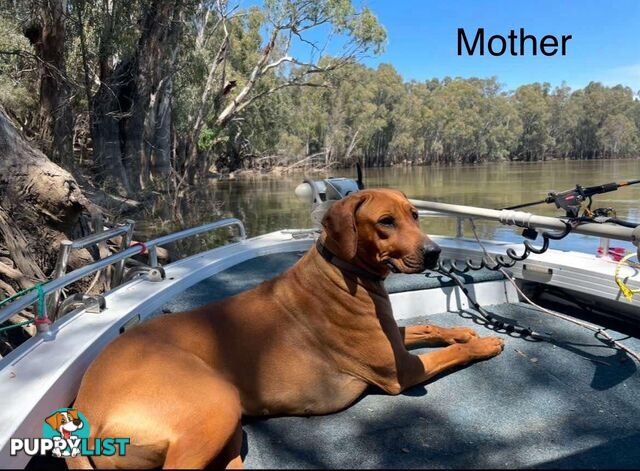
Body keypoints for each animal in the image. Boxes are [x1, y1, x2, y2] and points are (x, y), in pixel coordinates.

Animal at [66, 190, 504, 470]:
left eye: (414, 214)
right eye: (385, 222)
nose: (435, 252)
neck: (343, 272)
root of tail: (86, 410)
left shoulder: (393, 340)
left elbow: (424, 326)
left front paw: (463, 332)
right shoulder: (403, 372)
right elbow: (448, 354)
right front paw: (485, 341)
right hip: (214, 405)